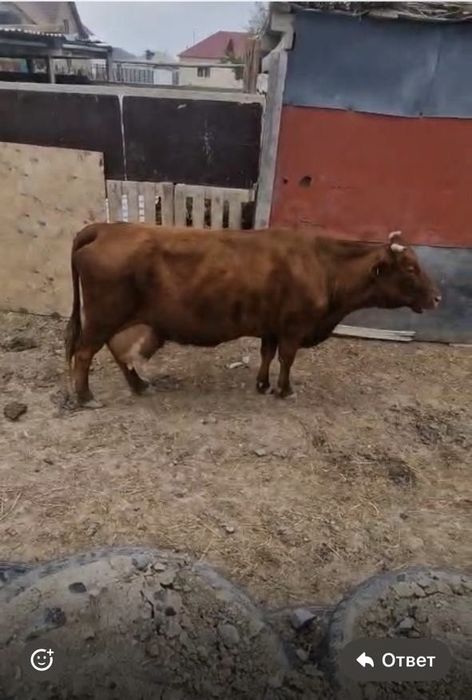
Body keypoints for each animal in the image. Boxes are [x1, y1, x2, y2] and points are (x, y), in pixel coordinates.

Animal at [65, 223, 440, 406]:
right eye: (410, 267)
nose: (438, 297)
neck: (323, 264)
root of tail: (108, 226)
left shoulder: (272, 326)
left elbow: (267, 354)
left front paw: (262, 384)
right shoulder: (293, 327)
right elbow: (286, 359)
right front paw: (285, 390)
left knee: (118, 353)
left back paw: (140, 386)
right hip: (103, 316)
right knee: (84, 354)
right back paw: (85, 397)